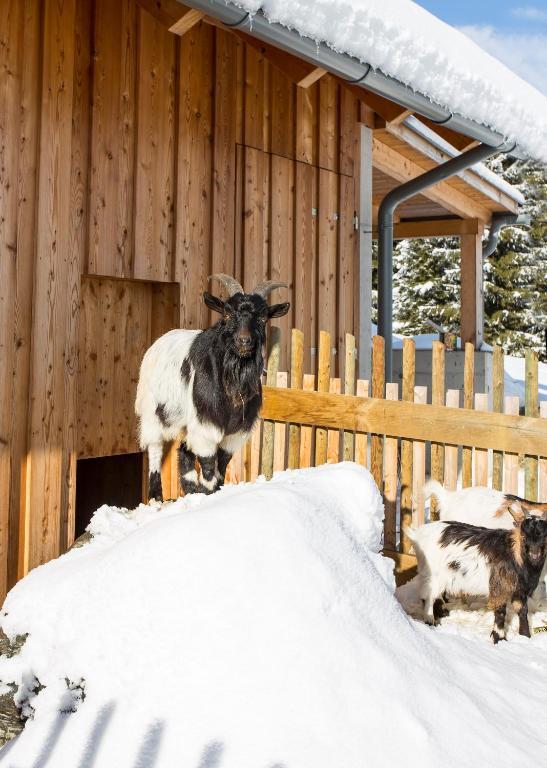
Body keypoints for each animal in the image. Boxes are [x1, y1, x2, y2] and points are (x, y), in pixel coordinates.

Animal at [136, 272, 292, 500]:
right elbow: (209, 471)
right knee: (155, 448)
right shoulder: (206, 426)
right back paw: (156, 497)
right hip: (153, 413)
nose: (244, 341)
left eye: (263, 317)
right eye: (227, 313)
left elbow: (221, 468)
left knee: (184, 451)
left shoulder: (234, 434)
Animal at [406, 504, 547, 640]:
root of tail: (418, 534)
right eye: (523, 536)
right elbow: (500, 612)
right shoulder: (499, 588)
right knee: (429, 596)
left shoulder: (520, 591)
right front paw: (499, 638)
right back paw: (430, 620)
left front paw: (525, 636)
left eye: (544, 536)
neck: (514, 553)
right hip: (433, 575)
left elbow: (522, 610)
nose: (534, 554)